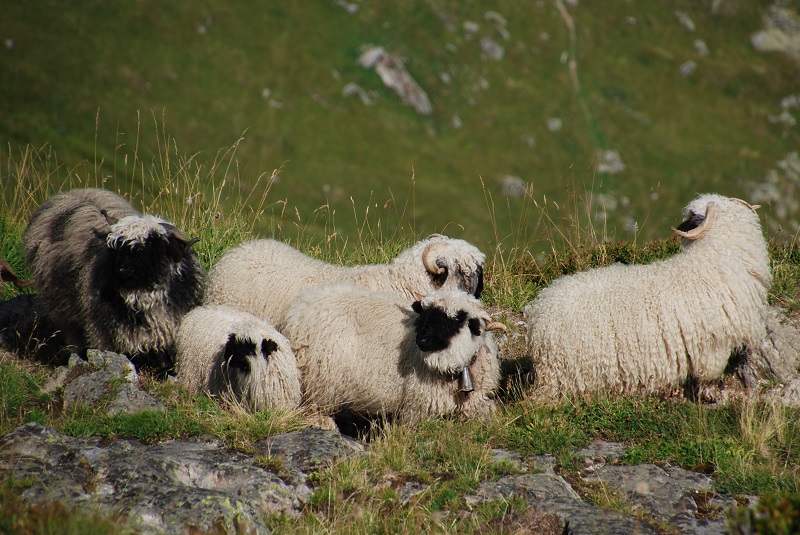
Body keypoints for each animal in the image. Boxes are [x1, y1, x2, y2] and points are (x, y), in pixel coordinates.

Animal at [23, 188, 206, 374]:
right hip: (64, 310)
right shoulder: (104, 329)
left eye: (149, 246)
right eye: (117, 247)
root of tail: (76, 194)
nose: (121, 268)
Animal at [281, 283, 506, 425]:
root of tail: (299, 308)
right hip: (320, 377)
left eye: (456, 319)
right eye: (425, 314)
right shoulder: (418, 407)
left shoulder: (476, 401)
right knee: (314, 406)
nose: (422, 340)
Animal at [523, 193, 772, 398]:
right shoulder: (713, 343)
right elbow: (709, 373)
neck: (713, 259)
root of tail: (538, 316)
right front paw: (711, 394)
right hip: (570, 370)